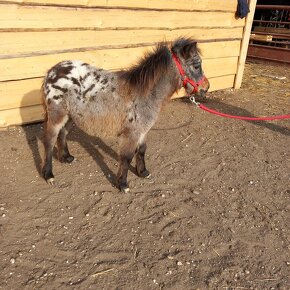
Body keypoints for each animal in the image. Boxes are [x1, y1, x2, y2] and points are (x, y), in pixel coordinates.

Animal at [41, 38, 208, 193]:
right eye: (196, 65)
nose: (206, 88)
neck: (143, 93)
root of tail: (52, 71)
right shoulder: (131, 134)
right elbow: (127, 157)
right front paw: (122, 184)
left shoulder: (142, 131)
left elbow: (141, 150)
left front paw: (143, 172)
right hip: (57, 115)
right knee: (49, 140)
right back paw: (49, 175)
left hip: (70, 116)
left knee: (63, 133)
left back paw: (66, 157)